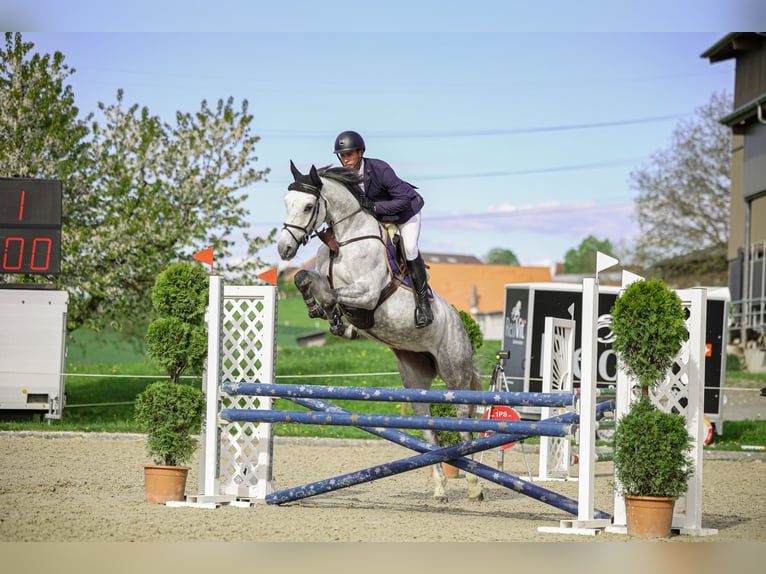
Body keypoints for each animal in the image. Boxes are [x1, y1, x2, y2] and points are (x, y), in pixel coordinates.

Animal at [277, 162, 484, 503]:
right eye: (286, 203)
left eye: (308, 206)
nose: (284, 248)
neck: (344, 241)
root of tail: (459, 321)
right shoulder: (322, 276)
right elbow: (304, 278)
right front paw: (317, 310)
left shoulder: (367, 293)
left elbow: (333, 295)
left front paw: (333, 316)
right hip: (415, 378)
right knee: (430, 428)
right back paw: (440, 489)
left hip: (455, 373)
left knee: (464, 421)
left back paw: (474, 487)